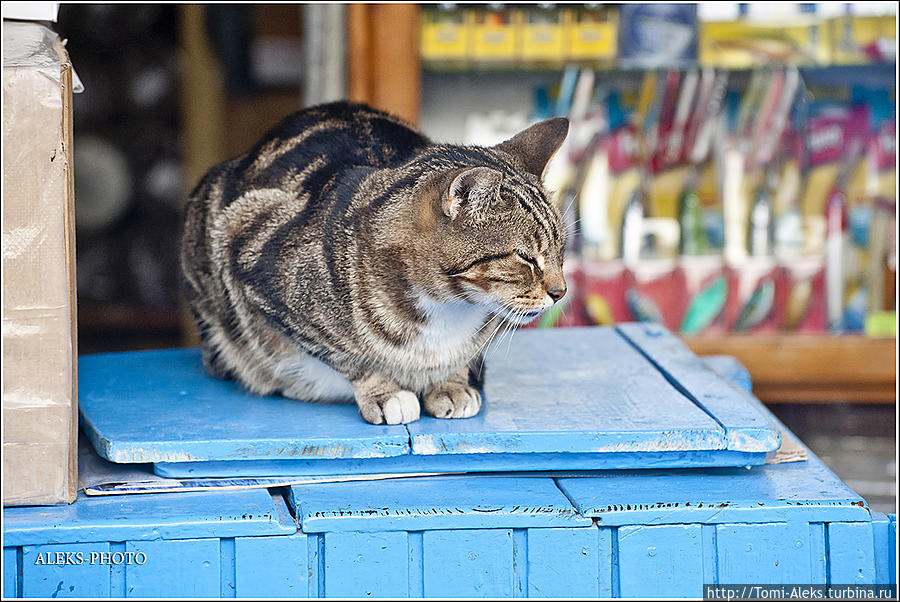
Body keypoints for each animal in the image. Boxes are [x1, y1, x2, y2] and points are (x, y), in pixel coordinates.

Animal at [179, 101, 568, 424]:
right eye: (525, 257)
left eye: (560, 251)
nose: (561, 292)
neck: (445, 308)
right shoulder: (253, 262)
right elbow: (343, 354)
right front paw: (384, 392)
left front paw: (451, 383)